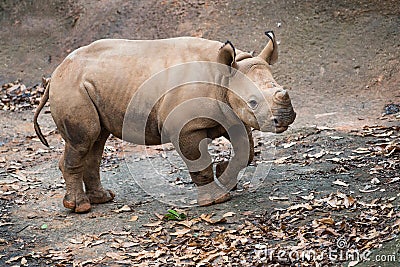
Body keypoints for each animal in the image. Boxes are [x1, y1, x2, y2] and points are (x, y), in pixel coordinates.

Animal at [34, 31, 296, 213]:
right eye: (252, 102)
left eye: (283, 88)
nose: (285, 118)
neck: (224, 77)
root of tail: (54, 74)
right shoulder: (187, 127)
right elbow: (200, 163)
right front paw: (216, 199)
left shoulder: (231, 116)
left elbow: (245, 154)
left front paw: (224, 177)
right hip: (71, 87)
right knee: (84, 140)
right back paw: (80, 207)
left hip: (87, 85)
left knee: (97, 140)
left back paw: (103, 198)